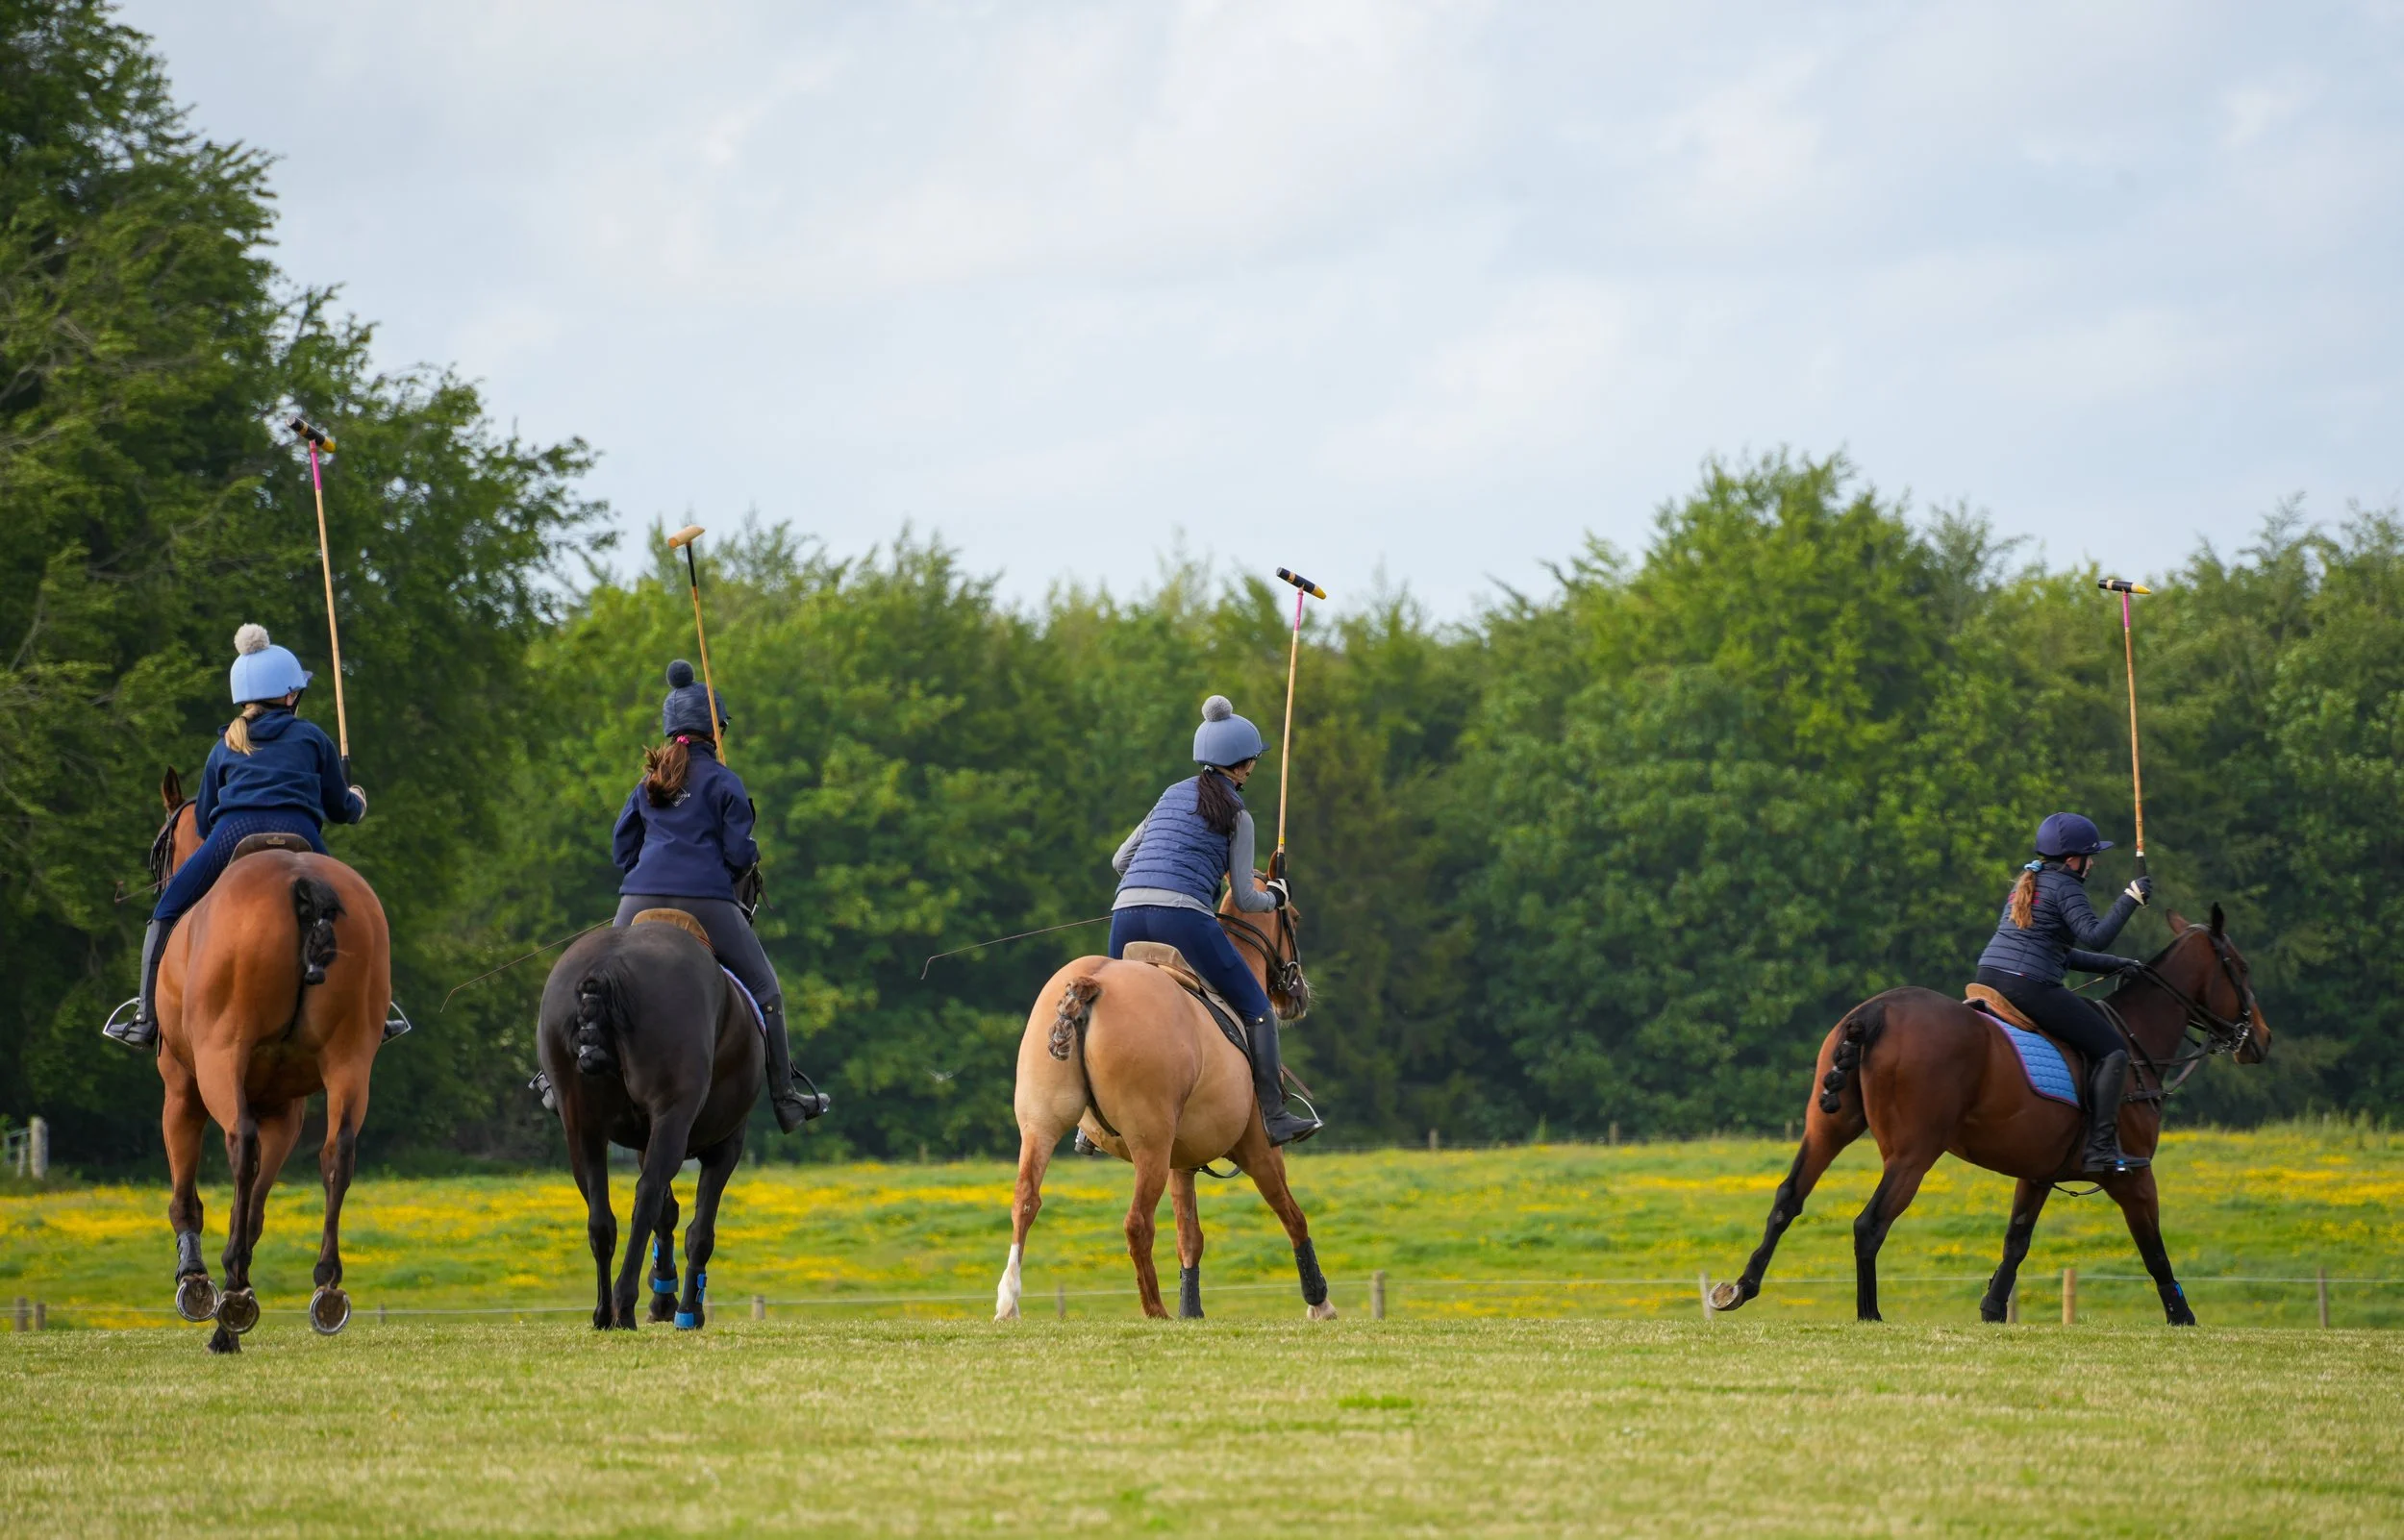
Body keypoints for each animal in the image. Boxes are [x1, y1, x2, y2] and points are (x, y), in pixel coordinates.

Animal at [145, 768, 393, 1354]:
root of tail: (302, 881)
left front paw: (199, 1285)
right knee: (337, 1153)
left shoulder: (182, 1090)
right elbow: (254, 1207)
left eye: (159, 850)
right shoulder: (287, 1108)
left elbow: (189, 1195)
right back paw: (325, 1288)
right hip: (351, 1061)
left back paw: (232, 1292)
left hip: (219, 1060)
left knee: (240, 1144)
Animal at [537, 909, 766, 1330]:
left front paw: (664, 1296)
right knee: (645, 1198)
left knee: (601, 1215)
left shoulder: (647, 1139)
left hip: (582, 1126)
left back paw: (603, 1311)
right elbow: (698, 1230)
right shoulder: (723, 1145)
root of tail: (608, 966)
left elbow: (667, 1213)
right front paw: (688, 1309)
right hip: (674, 1118)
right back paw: (624, 1305)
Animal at [995, 892, 1333, 1322]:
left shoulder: (1181, 1162)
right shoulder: (1260, 1151)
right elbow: (1292, 1216)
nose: (1298, 995)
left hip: (1041, 1125)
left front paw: (1193, 1309)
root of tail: (1092, 981)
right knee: (1137, 1222)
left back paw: (1009, 1301)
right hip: (1150, 1144)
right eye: (1295, 917)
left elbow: (1190, 1237)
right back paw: (1155, 1309)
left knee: (1025, 1200)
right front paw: (1319, 1301)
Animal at [1711, 905, 2270, 1325]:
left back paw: (1742, 1287)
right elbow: (2153, 1248)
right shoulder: (2133, 1176)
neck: (2135, 1042)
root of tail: (1875, 1012)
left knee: (1788, 1199)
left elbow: (2016, 1240)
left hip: (1828, 1128)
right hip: (1914, 1152)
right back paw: (1869, 1314)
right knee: (1869, 1223)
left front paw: (1994, 1308)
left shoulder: (2038, 1173)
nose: (2260, 1040)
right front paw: (2182, 1317)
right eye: (2240, 968)